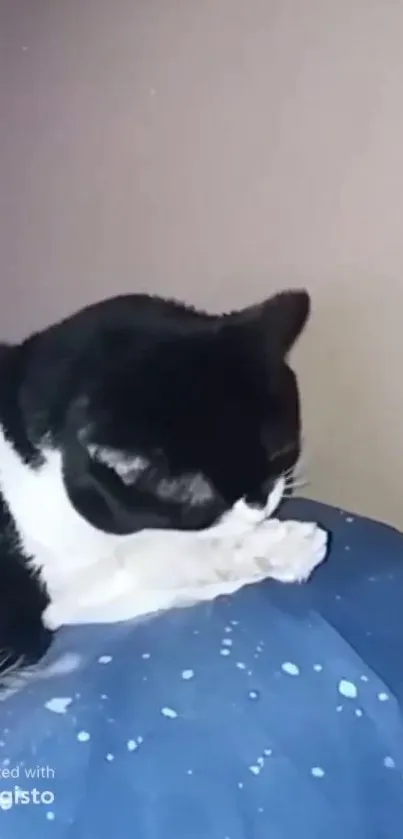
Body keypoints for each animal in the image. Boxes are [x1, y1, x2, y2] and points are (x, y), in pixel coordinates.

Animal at [0, 288, 328, 684]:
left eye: (280, 452)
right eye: (204, 497)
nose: (260, 503)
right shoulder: (67, 593)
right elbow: (158, 552)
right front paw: (287, 546)